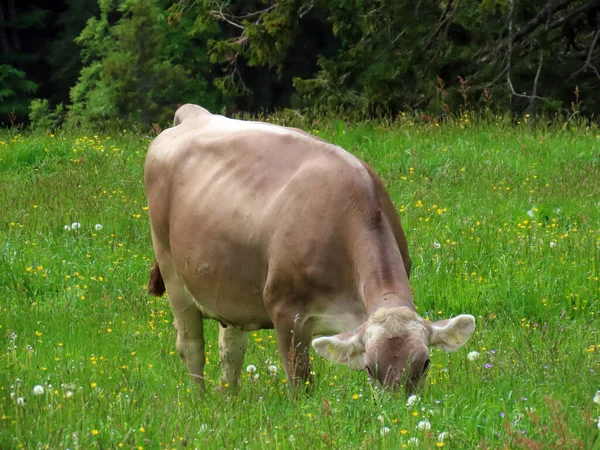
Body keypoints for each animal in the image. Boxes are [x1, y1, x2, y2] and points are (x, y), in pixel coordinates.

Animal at [143, 103, 476, 392]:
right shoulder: (286, 313)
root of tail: (195, 114)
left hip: (229, 286)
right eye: (370, 368)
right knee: (191, 346)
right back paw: (200, 400)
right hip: (171, 271)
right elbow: (300, 384)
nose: (398, 410)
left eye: (425, 364)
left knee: (231, 351)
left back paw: (229, 399)